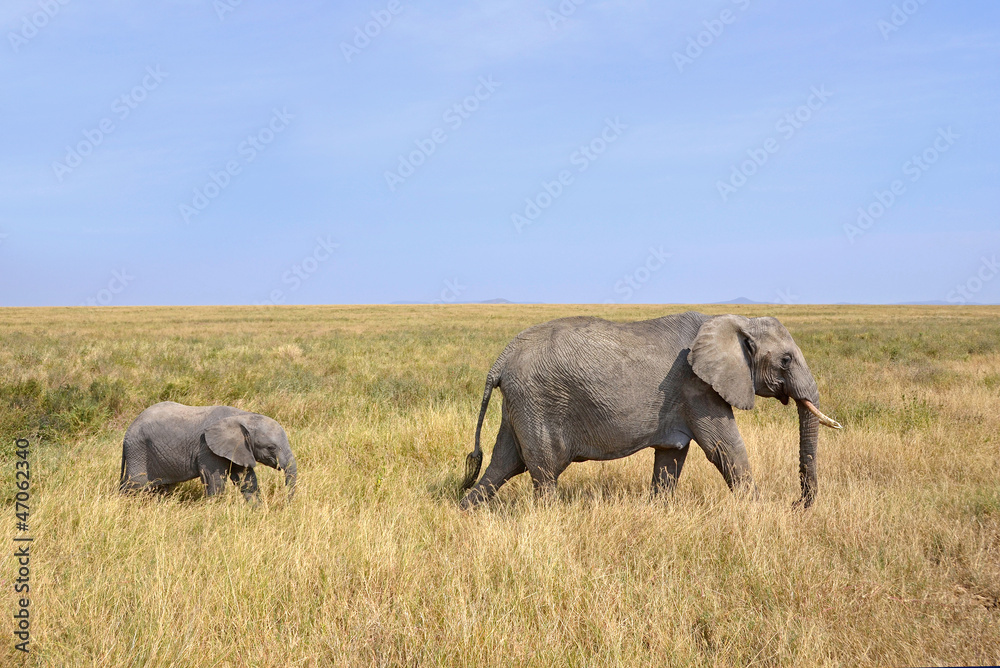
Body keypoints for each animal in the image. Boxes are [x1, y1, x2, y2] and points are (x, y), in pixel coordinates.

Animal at [119, 401, 297, 502]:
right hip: (138, 449)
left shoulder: (239, 448)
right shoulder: (206, 447)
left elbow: (246, 479)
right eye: (271, 447)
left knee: (161, 488)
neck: (243, 416)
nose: (286, 503)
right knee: (137, 484)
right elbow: (214, 480)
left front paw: (256, 510)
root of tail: (128, 430)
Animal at [459, 312, 841, 509]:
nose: (797, 505)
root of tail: (502, 359)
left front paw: (658, 510)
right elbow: (725, 448)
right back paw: (550, 519)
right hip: (538, 401)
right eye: (786, 360)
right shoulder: (698, 388)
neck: (736, 322)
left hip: (520, 403)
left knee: (504, 463)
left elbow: (672, 457)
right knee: (543, 470)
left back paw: (465, 510)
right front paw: (758, 513)